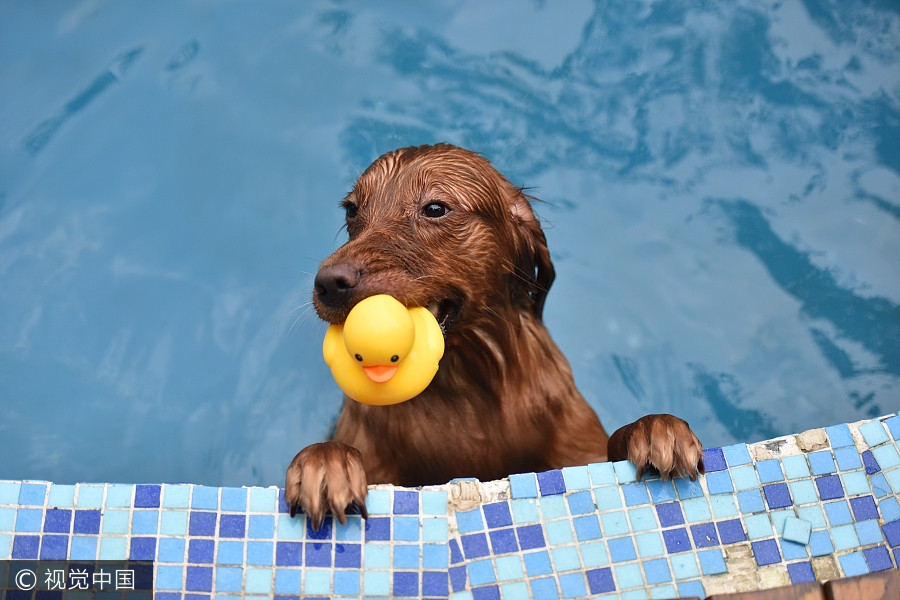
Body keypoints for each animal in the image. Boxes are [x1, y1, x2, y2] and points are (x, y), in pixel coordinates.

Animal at [286, 143, 704, 528]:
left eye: (435, 208)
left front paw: (654, 429)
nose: (329, 283)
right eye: (351, 209)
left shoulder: (579, 451)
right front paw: (325, 462)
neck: (466, 392)